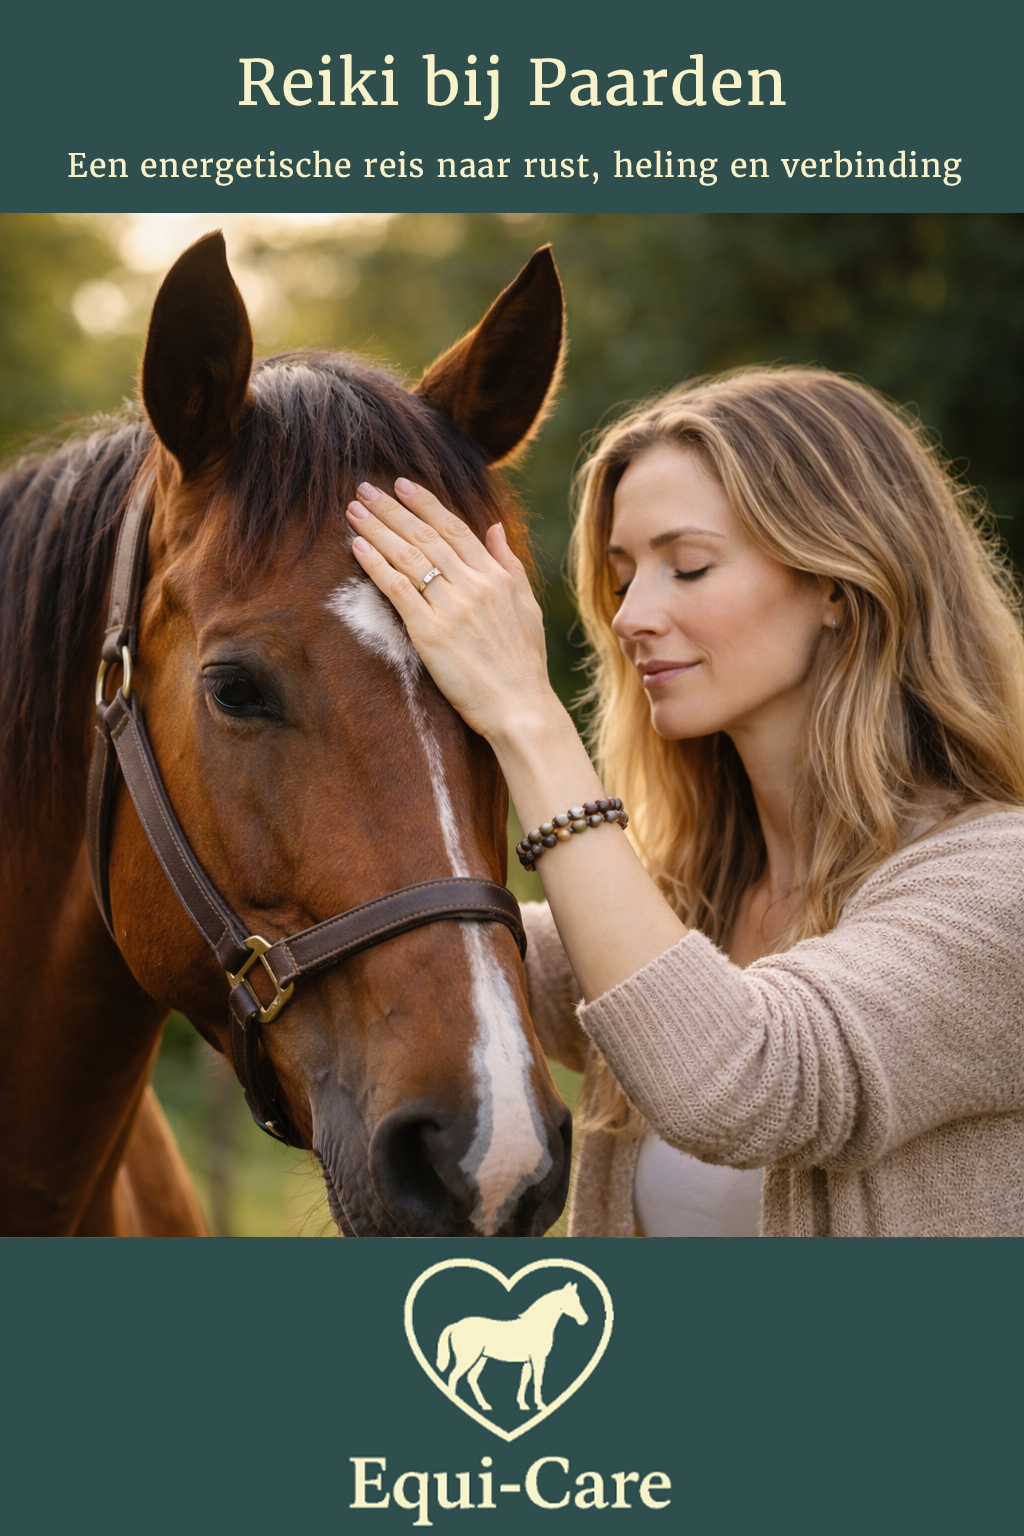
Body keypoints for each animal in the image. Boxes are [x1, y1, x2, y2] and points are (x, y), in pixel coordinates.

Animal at [436, 1281, 589, 1412]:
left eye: (578, 1300)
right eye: (571, 1301)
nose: (584, 1320)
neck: (537, 1325)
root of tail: (456, 1325)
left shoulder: (528, 1361)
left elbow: (524, 1380)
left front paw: (523, 1405)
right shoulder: (538, 1359)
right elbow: (537, 1380)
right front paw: (540, 1405)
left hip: (481, 1358)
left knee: (471, 1378)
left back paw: (485, 1405)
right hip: (468, 1358)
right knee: (454, 1376)